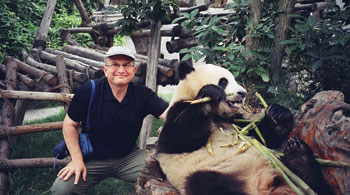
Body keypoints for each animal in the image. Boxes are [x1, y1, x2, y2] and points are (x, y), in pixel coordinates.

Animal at [157, 61, 332, 195]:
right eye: (223, 81)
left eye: (234, 79)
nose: (242, 93)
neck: (217, 115)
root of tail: (266, 185)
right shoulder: (176, 112)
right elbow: (181, 138)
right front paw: (210, 94)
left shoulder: (235, 121)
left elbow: (263, 136)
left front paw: (278, 114)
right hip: (210, 172)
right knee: (206, 183)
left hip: (279, 165)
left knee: (305, 179)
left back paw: (299, 158)